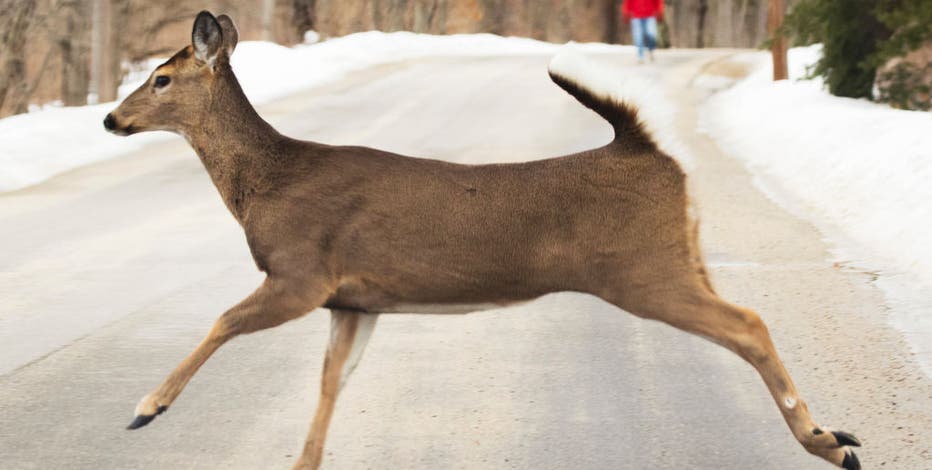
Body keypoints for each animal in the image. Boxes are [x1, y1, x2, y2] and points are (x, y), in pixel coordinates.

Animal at [104, 11, 862, 470]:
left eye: (161, 78)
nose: (111, 119)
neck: (266, 184)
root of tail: (649, 152)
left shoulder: (300, 273)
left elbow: (223, 320)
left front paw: (146, 408)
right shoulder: (355, 301)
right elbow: (330, 383)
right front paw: (303, 462)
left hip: (641, 269)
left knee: (749, 322)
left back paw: (829, 442)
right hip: (683, 258)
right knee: (743, 317)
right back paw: (833, 438)